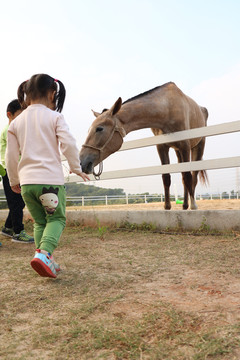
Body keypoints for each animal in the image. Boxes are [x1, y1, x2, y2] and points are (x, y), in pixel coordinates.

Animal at [79, 82, 207, 210]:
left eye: (99, 128)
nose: (82, 162)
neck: (167, 109)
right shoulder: (161, 147)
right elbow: (166, 177)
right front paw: (167, 207)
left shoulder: (184, 145)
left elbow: (188, 177)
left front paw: (194, 206)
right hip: (177, 151)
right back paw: (185, 205)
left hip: (198, 147)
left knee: (193, 176)